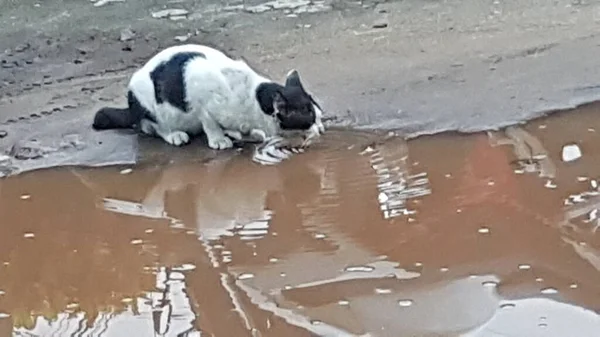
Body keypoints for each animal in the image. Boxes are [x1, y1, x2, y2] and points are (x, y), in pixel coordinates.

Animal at [92, 44, 324, 149]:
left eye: (320, 116)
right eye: (310, 118)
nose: (321, 128)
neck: (253, 100)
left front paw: (247, 134)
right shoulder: (198, 84)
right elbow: (209, 121)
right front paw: (219, 139)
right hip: (146, 98)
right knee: (153, 127)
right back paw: (175, 135)